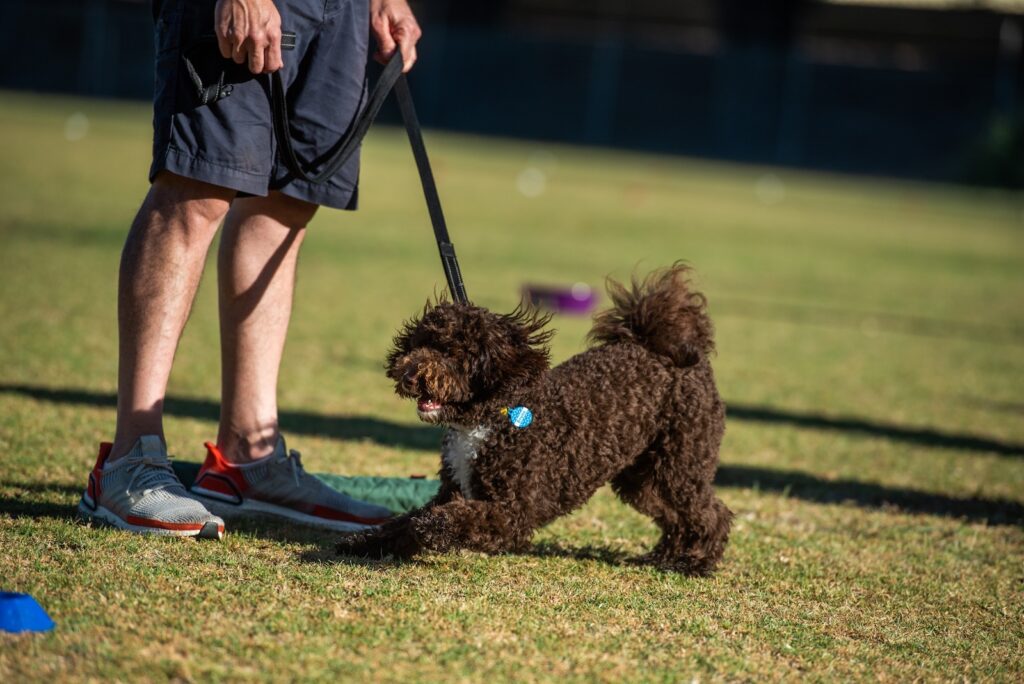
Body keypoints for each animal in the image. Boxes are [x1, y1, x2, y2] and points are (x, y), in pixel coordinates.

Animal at [339, 264, 733, 573]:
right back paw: (665, 556)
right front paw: (365, 542)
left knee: (710, 512)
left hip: (681, 460)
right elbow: (402, 524)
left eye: (451, 352)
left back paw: (696, 561)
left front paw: (431, 528)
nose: (408, 374)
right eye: (419, 344)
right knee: (673, 514)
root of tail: (668, 351)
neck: (490, 418)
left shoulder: (513, 512)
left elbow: (455, 518)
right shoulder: (453, 489)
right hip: (643, 475)